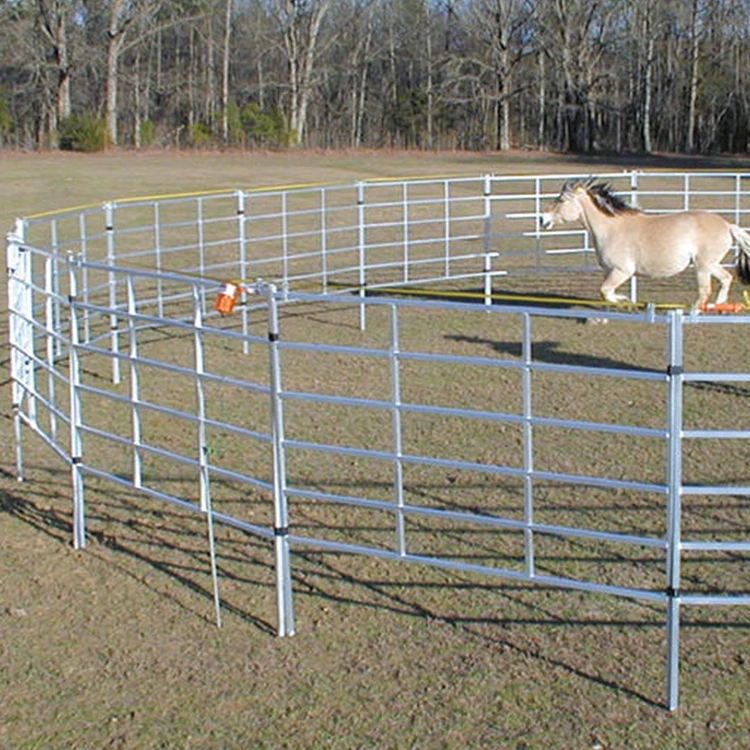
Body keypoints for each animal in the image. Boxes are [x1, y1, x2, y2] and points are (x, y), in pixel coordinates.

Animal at [544, 179, 750, 312]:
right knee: (726, 278)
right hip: (709, 264)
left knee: (705, 291)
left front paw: (626, 301)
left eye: (561, 200)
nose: (542, 219)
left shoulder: (622, 271)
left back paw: (695, 310)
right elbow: (606, 293)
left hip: (703, 266)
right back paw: (718, 306)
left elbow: (605, 291)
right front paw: (624, 302)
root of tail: (728, 225)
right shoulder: (609, 271)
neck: (611, 228)